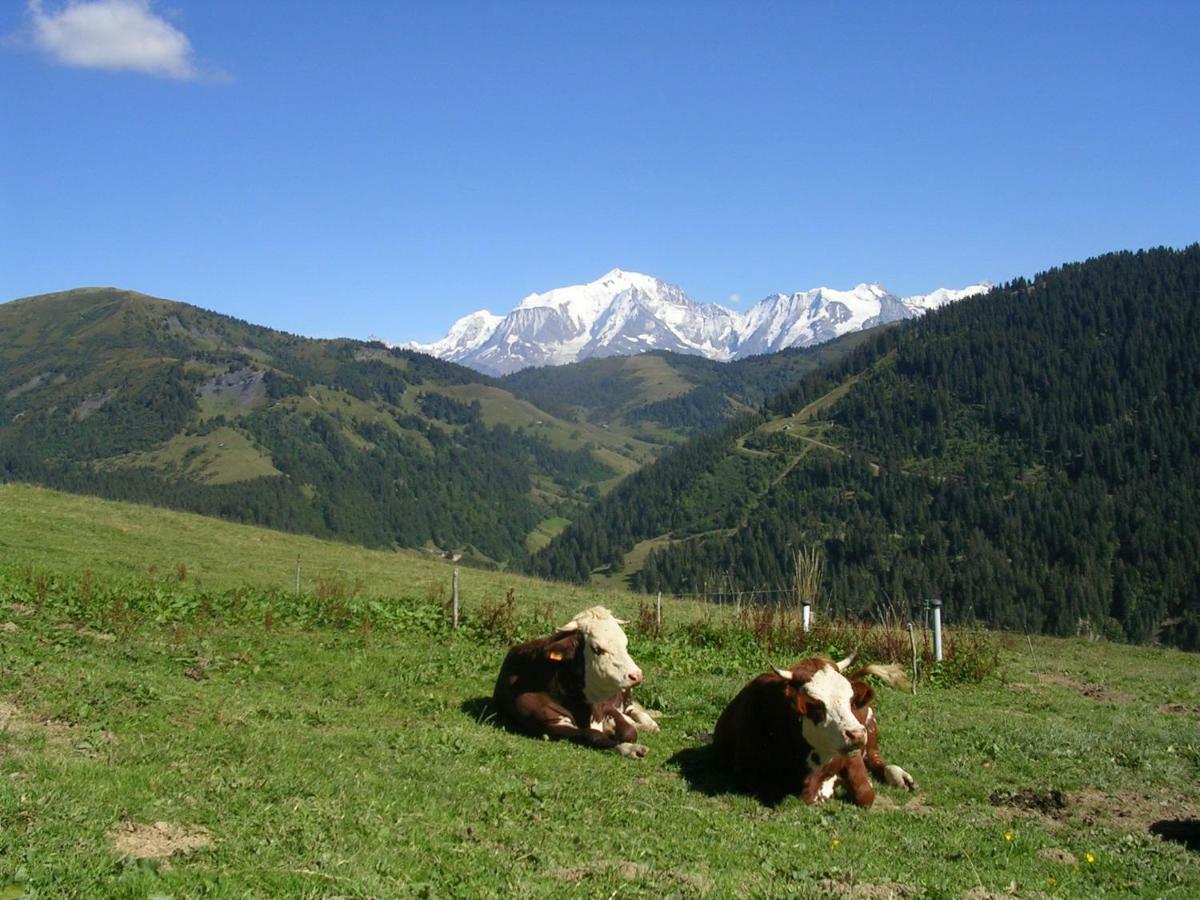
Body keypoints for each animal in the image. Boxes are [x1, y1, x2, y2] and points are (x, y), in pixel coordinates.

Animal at [489, 607, 652, 763]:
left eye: (625, 644)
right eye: (597, 649)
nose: (636, 675)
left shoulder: (605, 706)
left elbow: (629, 732)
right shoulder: (550, 723)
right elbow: (592, 734)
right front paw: (629, 748)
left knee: (633, 710)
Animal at [710, 657, 907, 801]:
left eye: (851, 701)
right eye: (816, 705)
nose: (857, 734)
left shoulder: (853, 755)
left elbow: (866, 794)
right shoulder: (746, 770)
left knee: (876, 759)